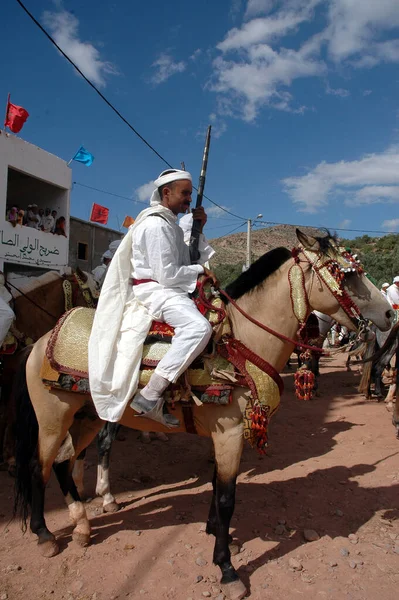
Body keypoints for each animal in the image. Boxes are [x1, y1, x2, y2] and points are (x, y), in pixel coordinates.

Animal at [13, 231, 394, 600]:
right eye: (346, 273)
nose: (390, 314)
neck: (243, 341)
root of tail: (41, 341)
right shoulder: (229, 433)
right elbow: (226, 498)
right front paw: (226, 568)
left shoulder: (223, 435)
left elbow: (215, 486)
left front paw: (217, 535)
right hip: (53, 420)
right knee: (38, 467)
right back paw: (45, 534)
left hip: (87, 418)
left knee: (62, 464)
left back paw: (81, 524)